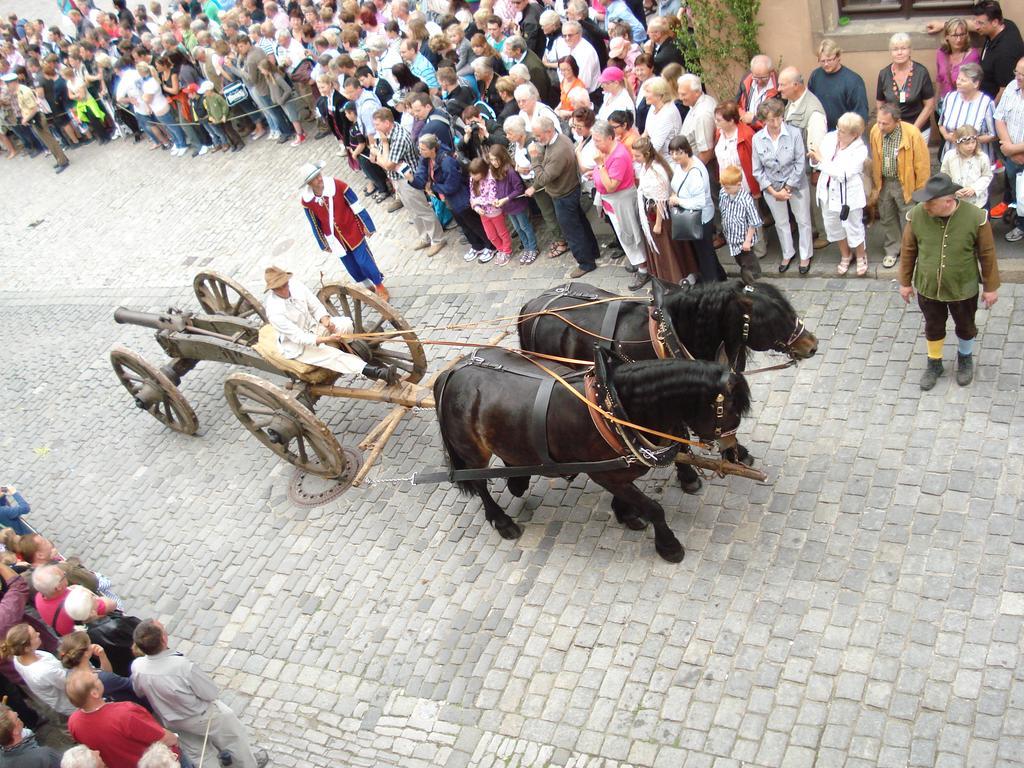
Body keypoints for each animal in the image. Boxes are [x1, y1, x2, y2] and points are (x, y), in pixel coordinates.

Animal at [432, 352, 753, 561]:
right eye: (730, 411)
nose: (734, 452)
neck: (614, 408)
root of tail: (451, 372)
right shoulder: (605, 473)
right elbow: (653, 508)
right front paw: (669, 546)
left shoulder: (617, 472)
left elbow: (628, 497)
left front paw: (626, 514)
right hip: (472, 452)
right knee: (480, 483)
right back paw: (502, 521)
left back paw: (519, 480)